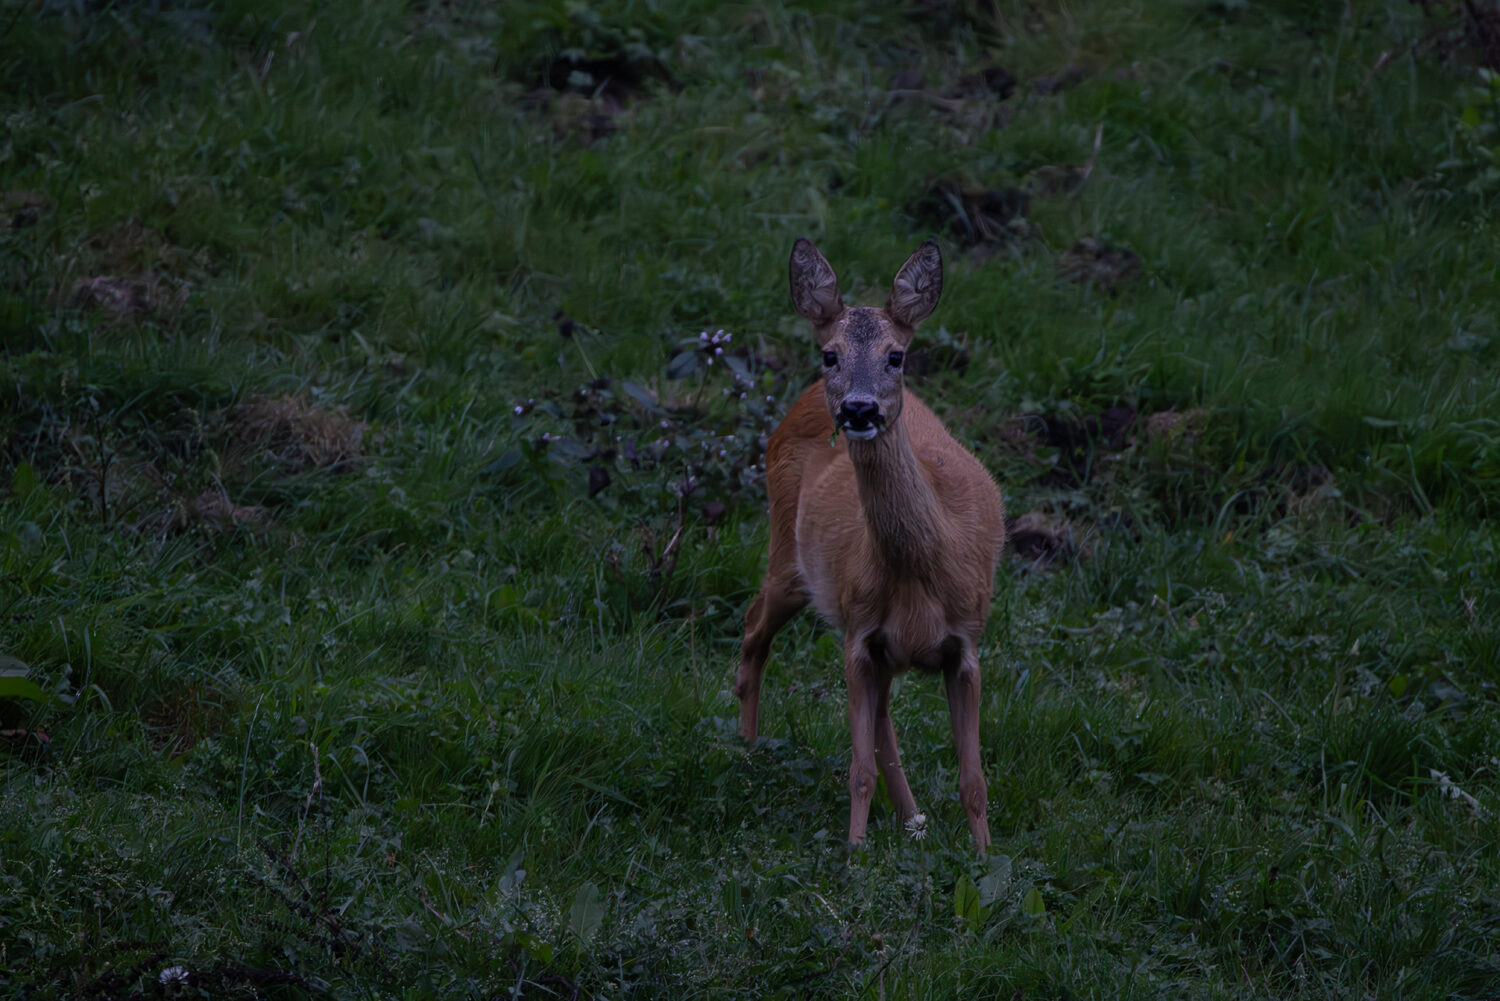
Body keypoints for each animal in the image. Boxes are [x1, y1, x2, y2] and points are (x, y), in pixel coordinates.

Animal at [734, 238, 1006, 853]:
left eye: (896, 356)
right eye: (830, 354)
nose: (859, 409)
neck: (921, 568)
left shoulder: (966, 644)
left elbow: (974, 778)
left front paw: (986, 859)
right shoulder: (857, 635)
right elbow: (857, 769)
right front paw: (854, 858)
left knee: (883, 720)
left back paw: (913, 821)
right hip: (790, 557)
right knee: (754, 624)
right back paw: (746, 749)